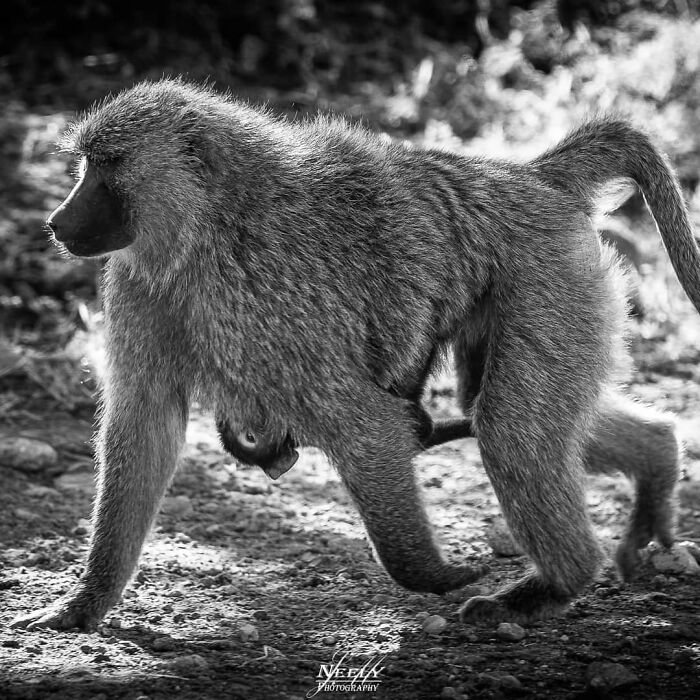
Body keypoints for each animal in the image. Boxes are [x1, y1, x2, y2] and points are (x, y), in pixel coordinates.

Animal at [12, 79, 699, 632]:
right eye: (86, 166)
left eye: (107, 167)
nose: (56, 222)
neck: (211, 225)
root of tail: (532, 179)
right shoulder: (140, 284)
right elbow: (145, 426)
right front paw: (84, 604)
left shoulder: (271, 298)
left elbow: (366, 426)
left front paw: (436, 575)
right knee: (508, 411)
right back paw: (657, 464)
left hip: (551, 279)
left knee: (510, 428)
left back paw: (551, 587)